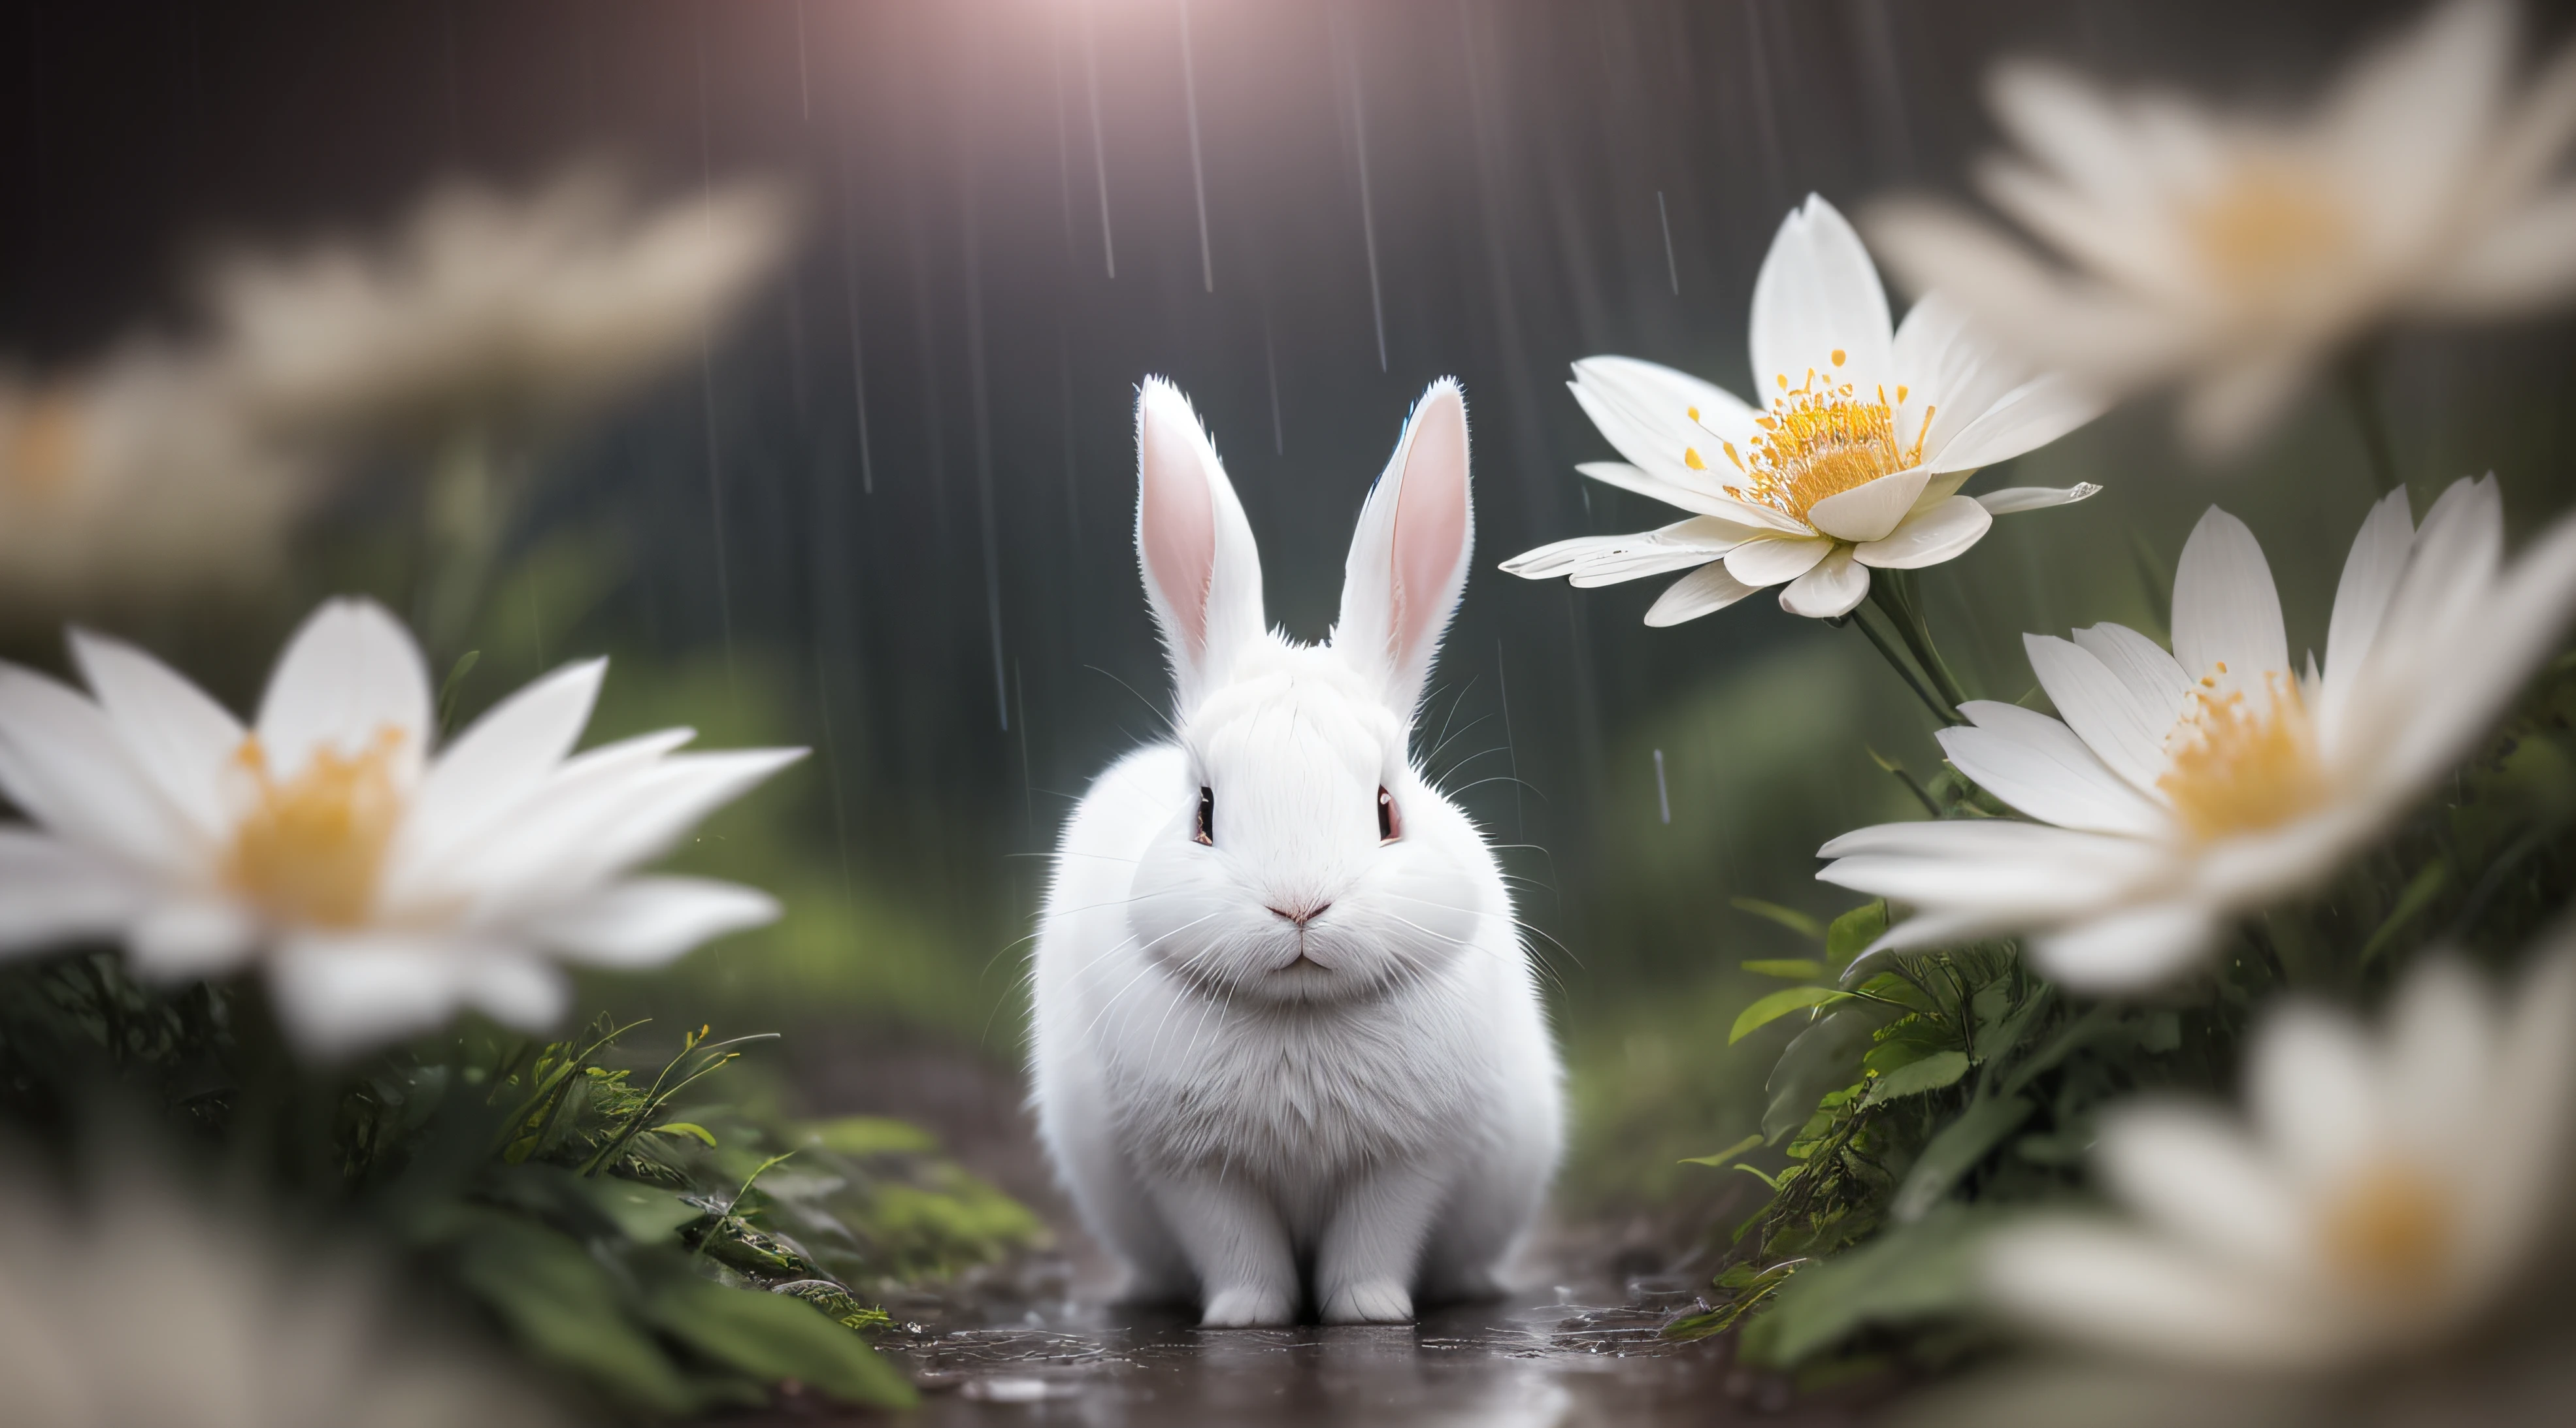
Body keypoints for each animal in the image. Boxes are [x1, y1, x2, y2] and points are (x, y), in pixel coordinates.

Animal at [1030, 370, 1555, 1327]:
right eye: (1205, 811)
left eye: (1386, 810)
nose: (1299, 904)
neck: (1301, 1013)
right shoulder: (1190, 1168)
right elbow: (1237, 1248)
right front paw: (1246, 1318)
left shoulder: (1408, 1162)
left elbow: (1373, 1241)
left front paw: (1369, 1313)